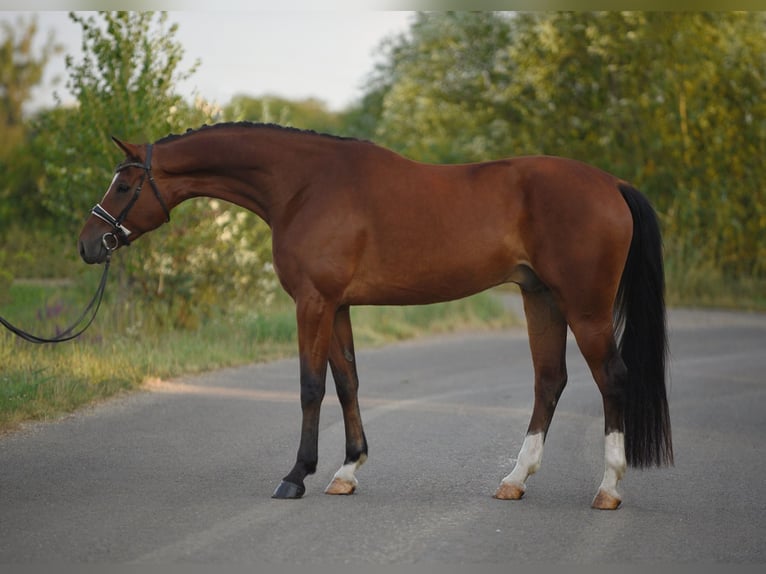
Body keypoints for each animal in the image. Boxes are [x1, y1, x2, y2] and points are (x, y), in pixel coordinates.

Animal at [78, 124, 672, 510]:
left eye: (124, 185)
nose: (88, 244)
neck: (304, 185)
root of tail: (611, 184)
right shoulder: (337, 305)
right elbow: (347, 382)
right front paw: (347, 470)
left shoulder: (313, 302)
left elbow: (310, 386)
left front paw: (296, 476)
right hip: (540, 297)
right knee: (549, 381)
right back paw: (515, 479)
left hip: (585, 306)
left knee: (611, 379)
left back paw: (608, 489)